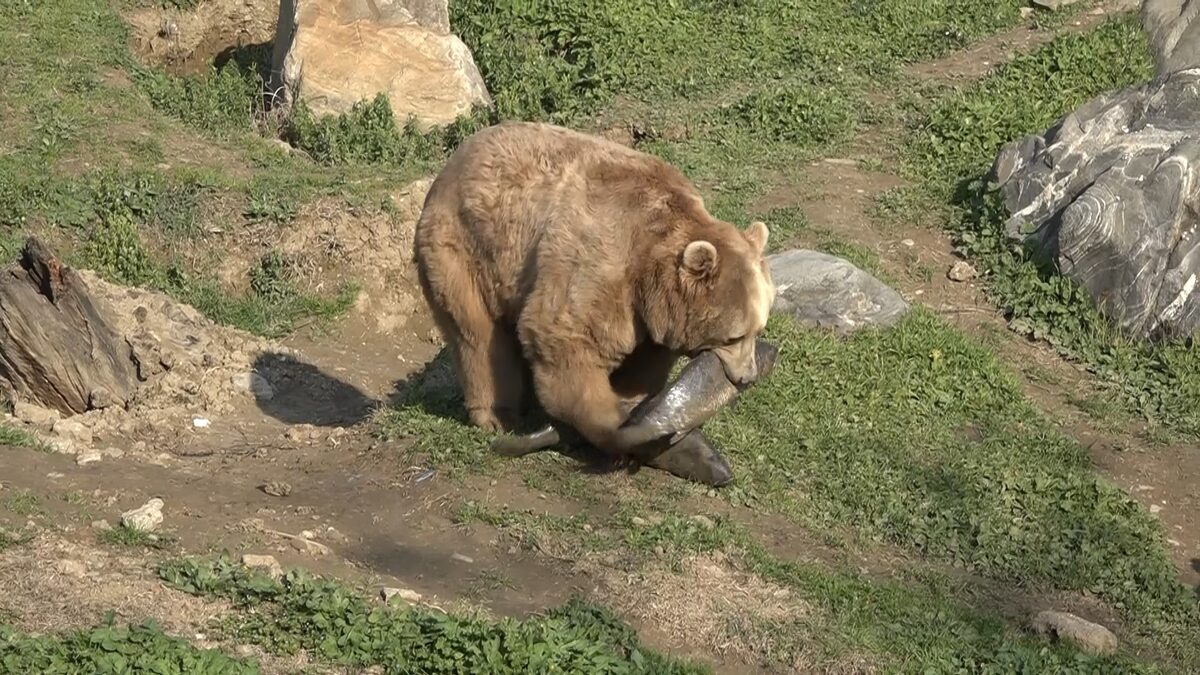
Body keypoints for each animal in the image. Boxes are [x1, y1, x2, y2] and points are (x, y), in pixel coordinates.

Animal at [410, 120, 768, 456]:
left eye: (758, 328)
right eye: (733, 336)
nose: (748, 377)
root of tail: (451, 163)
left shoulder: (647, 310)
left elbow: (643, 360)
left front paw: (634, 401)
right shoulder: (599, 261)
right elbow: (564, 338)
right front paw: (615, 424)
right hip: (464, 247)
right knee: (478, 336)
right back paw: (497, 415)